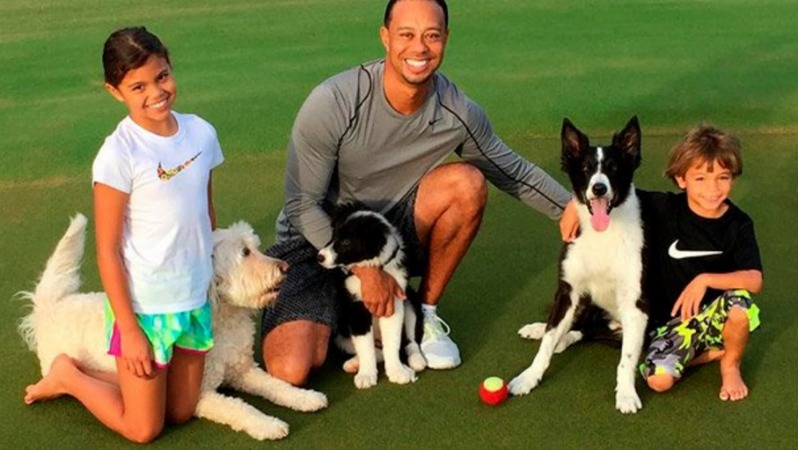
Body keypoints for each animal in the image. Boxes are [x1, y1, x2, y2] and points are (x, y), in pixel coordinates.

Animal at [17, 214, 328, 440]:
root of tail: (52, 305)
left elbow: (276, 385)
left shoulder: (243, 371)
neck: (223, 319)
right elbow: (240, 408)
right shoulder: (198, 395)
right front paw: (269, 425)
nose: (285, 267)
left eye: (255, 247)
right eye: (245, 253)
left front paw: (305, 397)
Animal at [320, 202, 432, 388]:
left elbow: (393, 340)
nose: (319, 257)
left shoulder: (393, 302)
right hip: (340, 332)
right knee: (374, 348)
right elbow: (365, 345)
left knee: (409, 340)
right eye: (333, 235)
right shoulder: (356, 307)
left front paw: (397, 371)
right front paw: (366, 374)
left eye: (346, 241)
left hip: (410, 301)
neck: (374, 267)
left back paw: (415, 361)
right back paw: (354, 363)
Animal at [510, 117, 652, 414]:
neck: (603, 234)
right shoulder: (569, 291)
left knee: (591, 332)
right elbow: (547, 342)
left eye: (613, 168)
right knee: (575, 327)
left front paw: (626, 395)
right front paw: (528, 378)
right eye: (585, 169)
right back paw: (540, 330)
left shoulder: (636, 303)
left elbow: (627, 358)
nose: (599, 188)